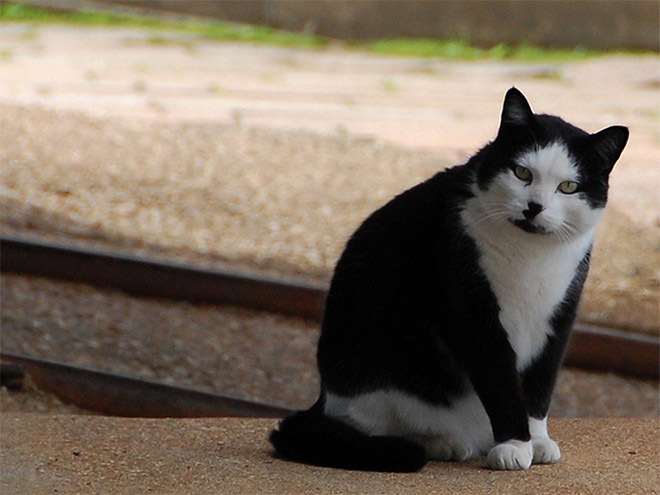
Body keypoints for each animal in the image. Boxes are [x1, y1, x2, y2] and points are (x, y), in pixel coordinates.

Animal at [270, 88, 628, 472]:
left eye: (568, 187)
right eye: (521, 172)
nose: (535, 207)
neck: (531, 253)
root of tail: (324, 397)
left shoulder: (559, 315)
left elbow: (540, 383)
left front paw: (538, 440)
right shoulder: (473, 310)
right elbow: (501, 384)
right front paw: (515, 446)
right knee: (376, 425)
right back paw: (439, 443)